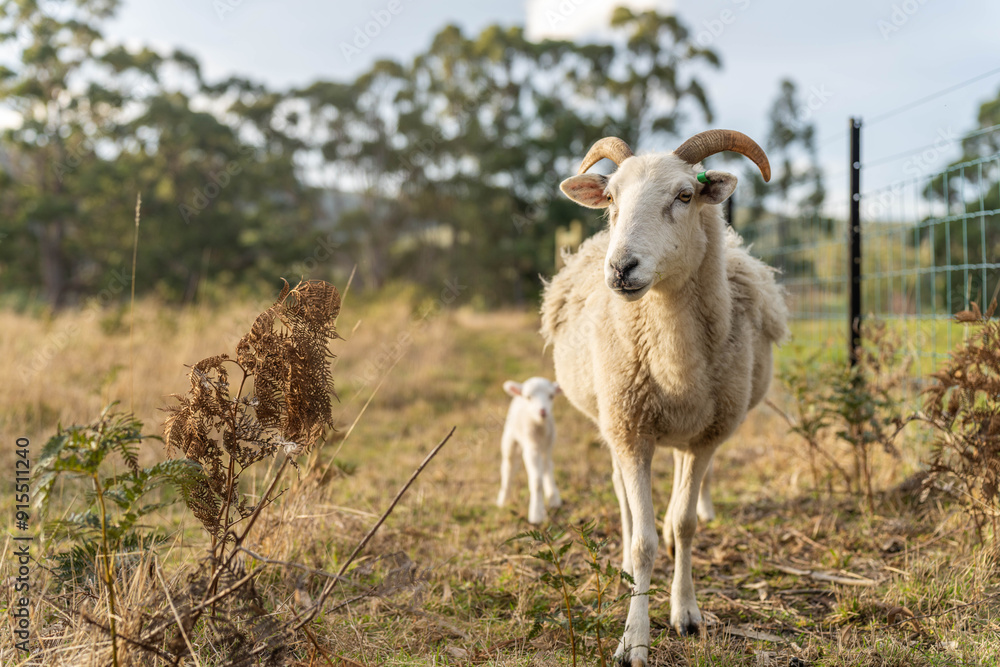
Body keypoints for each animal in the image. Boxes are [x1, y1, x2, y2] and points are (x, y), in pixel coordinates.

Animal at [495, 377, 563, 524]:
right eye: (528, 397)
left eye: (551, 396)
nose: (542, 411)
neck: (539, 427)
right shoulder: (531, 449)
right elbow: (536, 480)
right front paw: (536, 514)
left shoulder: (548, 446)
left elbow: (548, 469)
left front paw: (553, 498)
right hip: (509, 438)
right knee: (508, 467)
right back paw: (503, 499)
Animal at [541, 130, 788, 666]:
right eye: (611, 198)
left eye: (685, 195)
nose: (621, 268)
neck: (675, 363)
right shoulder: (630, 431)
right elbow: (644, 541)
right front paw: (634, 638)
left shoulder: (706, 439)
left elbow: (685, 524)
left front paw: (686, 613)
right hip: (612, 420)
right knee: (624, 499)